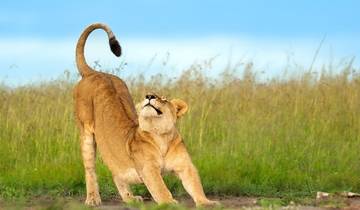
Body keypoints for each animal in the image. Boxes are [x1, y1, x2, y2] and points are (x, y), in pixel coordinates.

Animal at [74, 23, 218, 207]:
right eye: (146, 96)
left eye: (164, 99)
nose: (149, 95)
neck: (160, 135)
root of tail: (94, 72)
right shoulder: (148, 168)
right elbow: (160, 188)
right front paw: (169, 203)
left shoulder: (185, 166)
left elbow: (195, 185)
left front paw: (207, 203)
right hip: (86, 132)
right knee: (90, 168)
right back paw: (93, 198)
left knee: (116, 171)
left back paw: (130, 198)